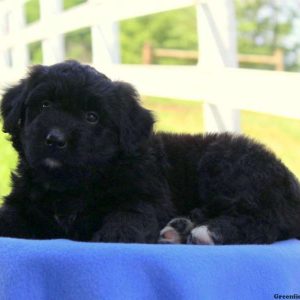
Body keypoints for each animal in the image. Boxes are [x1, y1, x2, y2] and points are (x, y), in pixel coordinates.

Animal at [0, 60, 300, 244]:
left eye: (92, 117)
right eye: (45, 105)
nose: (55, 139)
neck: (69, 188)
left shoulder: (146, 196)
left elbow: (129, 215)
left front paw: (115, 236)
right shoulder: (21, 204)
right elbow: (8, 217)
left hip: (224, 166)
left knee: (264, 220)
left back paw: (208, 233)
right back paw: (180, 229)